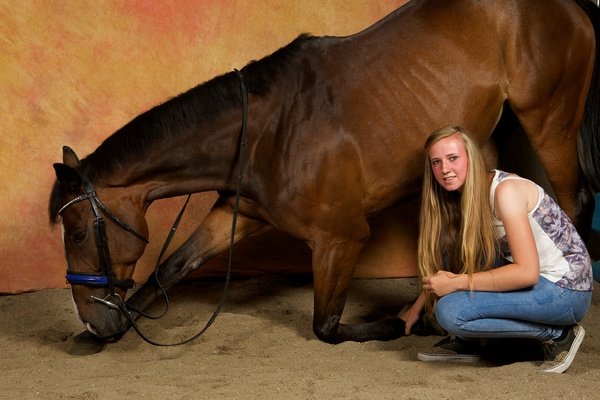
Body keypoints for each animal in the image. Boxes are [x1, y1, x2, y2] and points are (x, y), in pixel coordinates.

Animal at [48, 0, 600, 344]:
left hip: (548, 122)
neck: (269, 130)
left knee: (572, 206)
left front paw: (403, 324)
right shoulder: (240, 213)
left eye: (77, 232)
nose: (96, 324)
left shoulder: (341, 238)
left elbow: (326, 326)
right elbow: (173, 265)